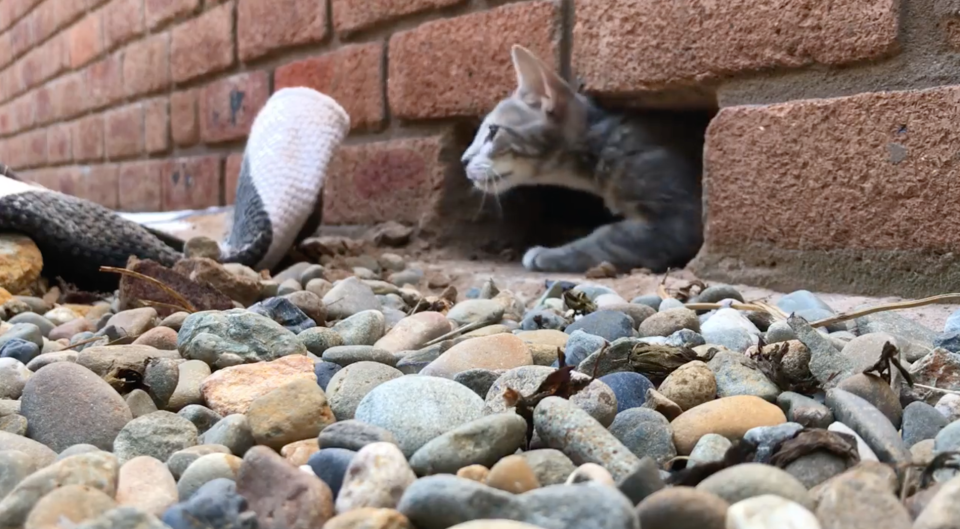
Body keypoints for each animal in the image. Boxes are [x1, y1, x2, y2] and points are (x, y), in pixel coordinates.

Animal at [462, 44, 708, 272]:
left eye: (493, 132)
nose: (463, 159)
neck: (604, 145)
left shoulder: (679, 218)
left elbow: (610, 237)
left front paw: (551, 254)